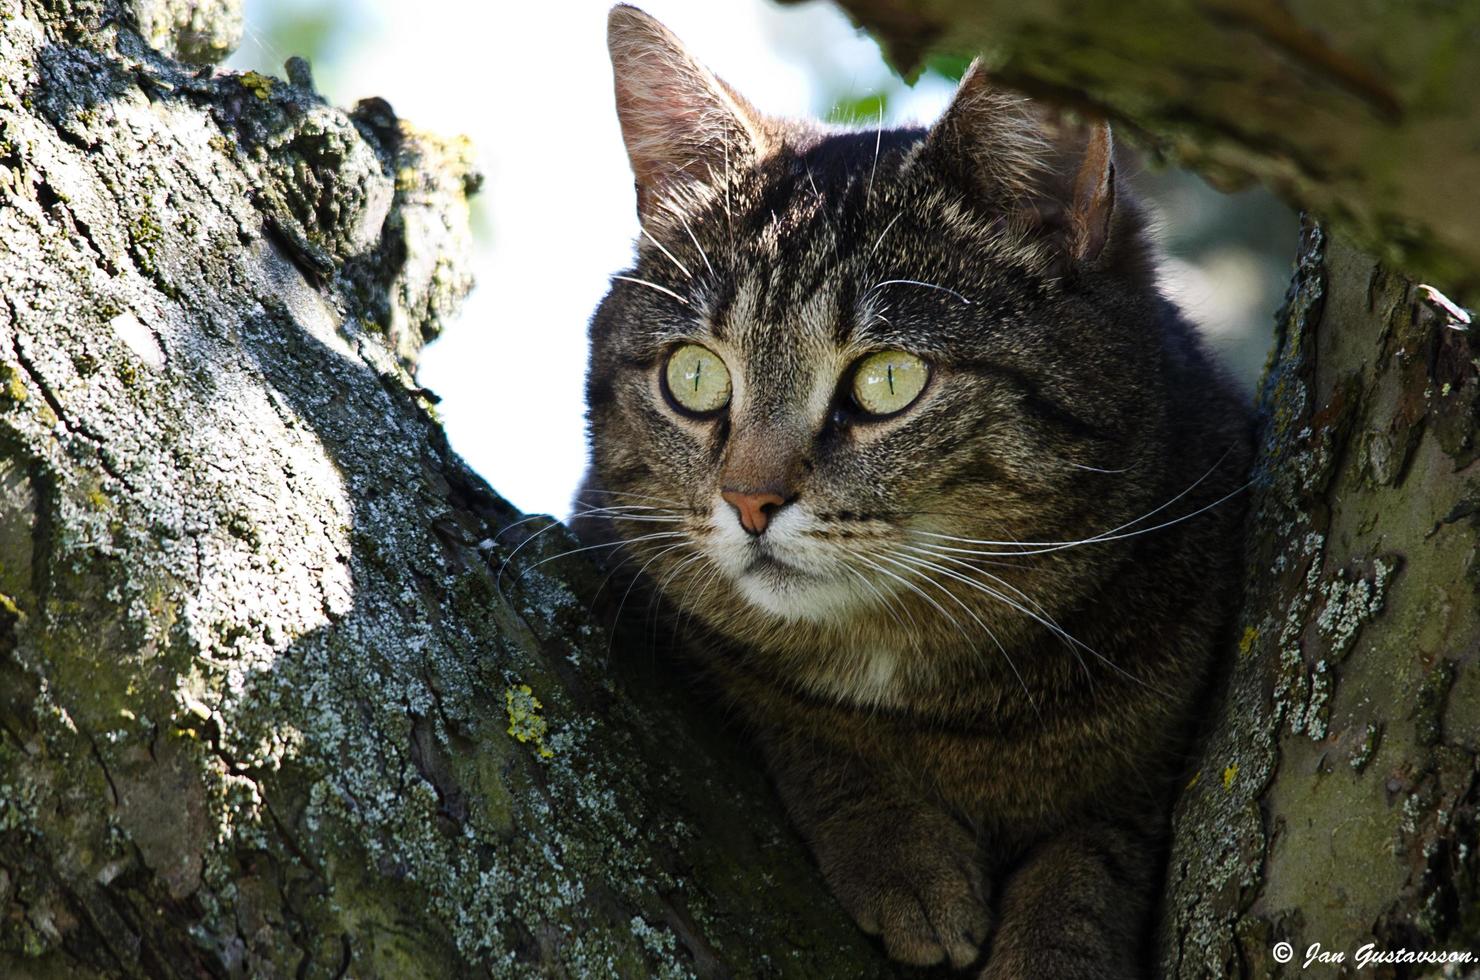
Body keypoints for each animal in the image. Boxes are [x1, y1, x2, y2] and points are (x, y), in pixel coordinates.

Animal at [571, 9, 1255, 980]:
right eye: (695, 376)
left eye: (888, 380)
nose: (749, 501)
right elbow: (805, 730)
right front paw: (904, 859)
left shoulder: (1160, 744)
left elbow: (1094, 856)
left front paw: (1051, 946)